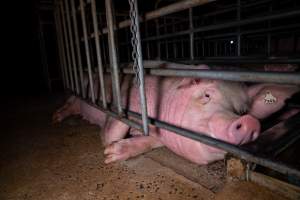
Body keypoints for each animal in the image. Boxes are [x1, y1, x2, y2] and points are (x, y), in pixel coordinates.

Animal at [53, 61, 298, 166]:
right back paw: (56, 118)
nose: (248, 122)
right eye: (206, 95)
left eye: (242, 110)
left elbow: (153, 140)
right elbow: (112, 130)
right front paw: (109, 154)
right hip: (77, 93)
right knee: (70, 104)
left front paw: (118, 150)